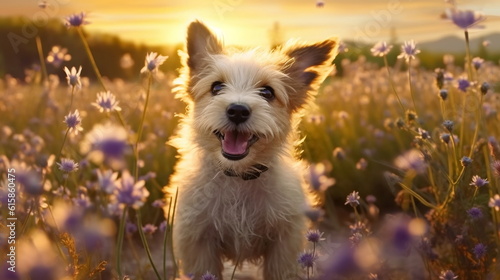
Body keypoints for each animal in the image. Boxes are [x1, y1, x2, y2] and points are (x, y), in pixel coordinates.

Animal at [167, 20, 336, 278]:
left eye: (267, 92)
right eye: (216, 87)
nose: (237, 110)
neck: (239, 178)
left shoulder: (284, 244)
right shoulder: (198, 243)